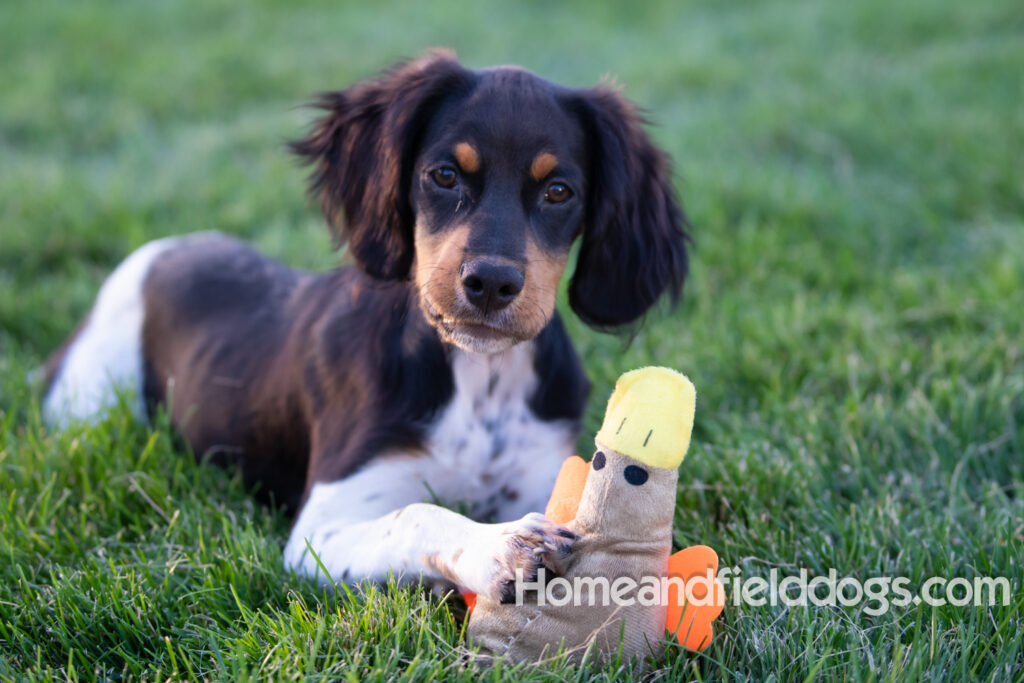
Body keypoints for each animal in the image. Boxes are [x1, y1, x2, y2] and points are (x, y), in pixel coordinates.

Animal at [41, 52, 688, 602]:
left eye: (558, 191)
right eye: (444, 176)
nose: (491, 283)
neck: (478, 380)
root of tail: (167, 247)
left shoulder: (540, 478)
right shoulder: (321, 528)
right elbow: (415, 515)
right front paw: (500, 545)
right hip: (89, 404)